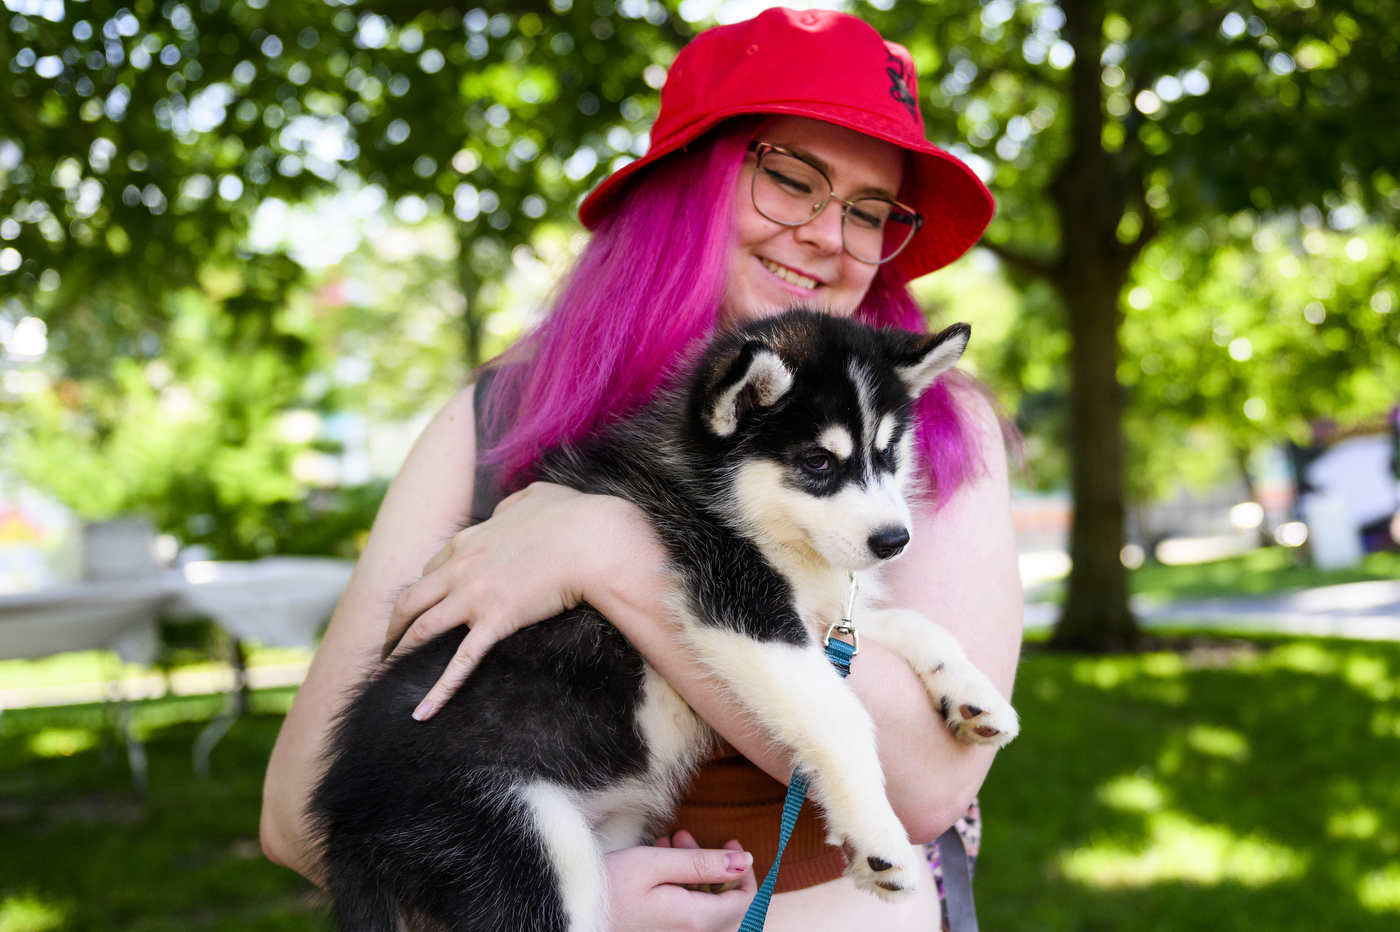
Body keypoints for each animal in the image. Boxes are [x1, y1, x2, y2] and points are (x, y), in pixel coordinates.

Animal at [312, 310, 1019, 929]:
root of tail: (340, 822)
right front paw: (879, 838)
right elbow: (841, 715)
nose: (894, 541)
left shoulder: (813, 610)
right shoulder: (734, 596)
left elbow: (910, 624)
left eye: (889, 453)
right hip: (516, 842)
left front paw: (974, 695)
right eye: (818, 463)